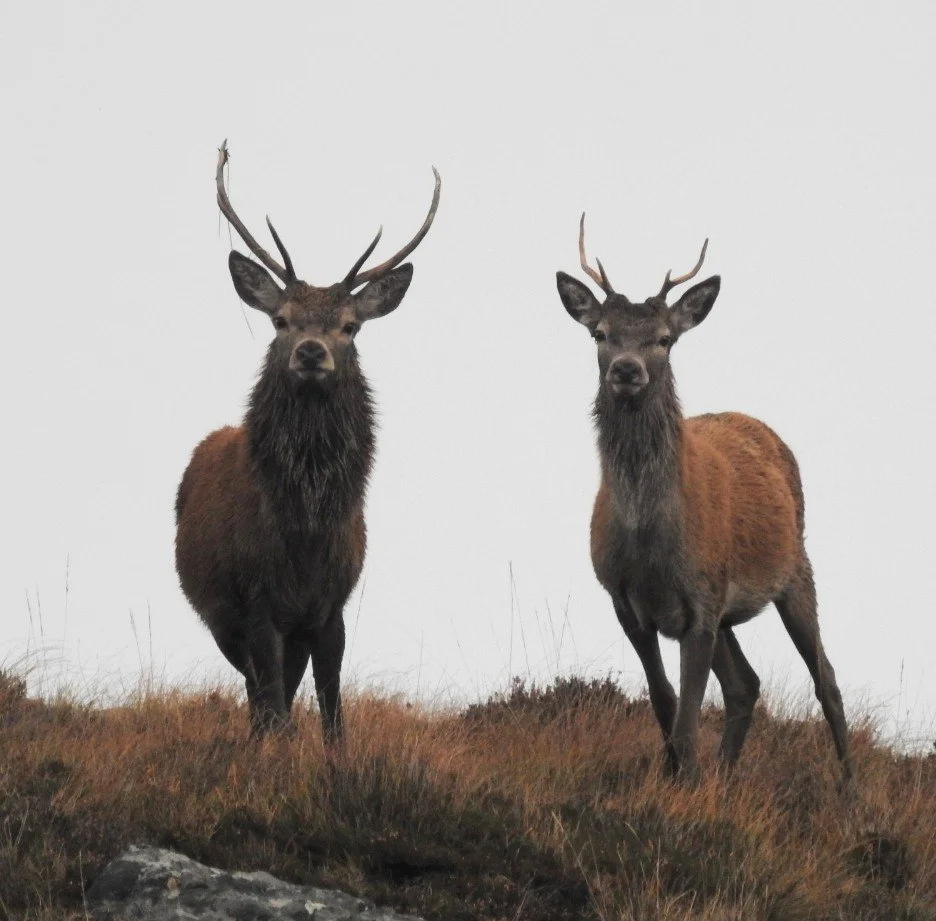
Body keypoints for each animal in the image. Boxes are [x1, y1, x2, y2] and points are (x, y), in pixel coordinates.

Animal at [175, 142, 440, 742]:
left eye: (350, 326)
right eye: (280, 320)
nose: (311, 351)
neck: (304, 533)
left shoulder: (331, 605)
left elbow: (331, 708)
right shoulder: (255, 602)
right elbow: (273, 703)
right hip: (220, 619)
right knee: (259, 696)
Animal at [555, 216, 853, 784]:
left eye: (665, 339)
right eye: (600, 333)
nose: (626, 369)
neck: (650, 546)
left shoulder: (702, 599)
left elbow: (690, 718)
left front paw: (686, 785)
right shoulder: (626, 602)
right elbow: (664, 702)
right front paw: (678, 778)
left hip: (794, 570)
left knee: (826, 676)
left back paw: (850, 789)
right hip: (730, 614)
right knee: (746, 684)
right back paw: (726, 777)